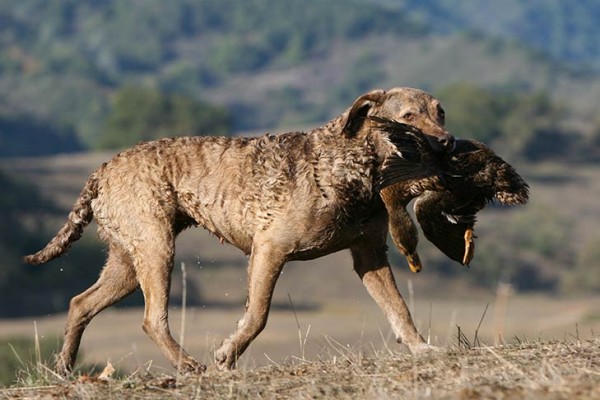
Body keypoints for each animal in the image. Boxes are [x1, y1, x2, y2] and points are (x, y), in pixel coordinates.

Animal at [24, 86, 454, 374]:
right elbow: (258, 314)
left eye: (441, 113)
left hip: (127, 263)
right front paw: (226, 356)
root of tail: (102, 170)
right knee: (151, 319)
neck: (351, 163)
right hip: (155, 249)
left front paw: (422, 349)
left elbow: (399, 307)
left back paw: (64, 368)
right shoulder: (270, 249)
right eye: (408, 116)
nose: (448, 143)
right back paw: (189, 366)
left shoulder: (370, 255)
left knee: (80, 303)